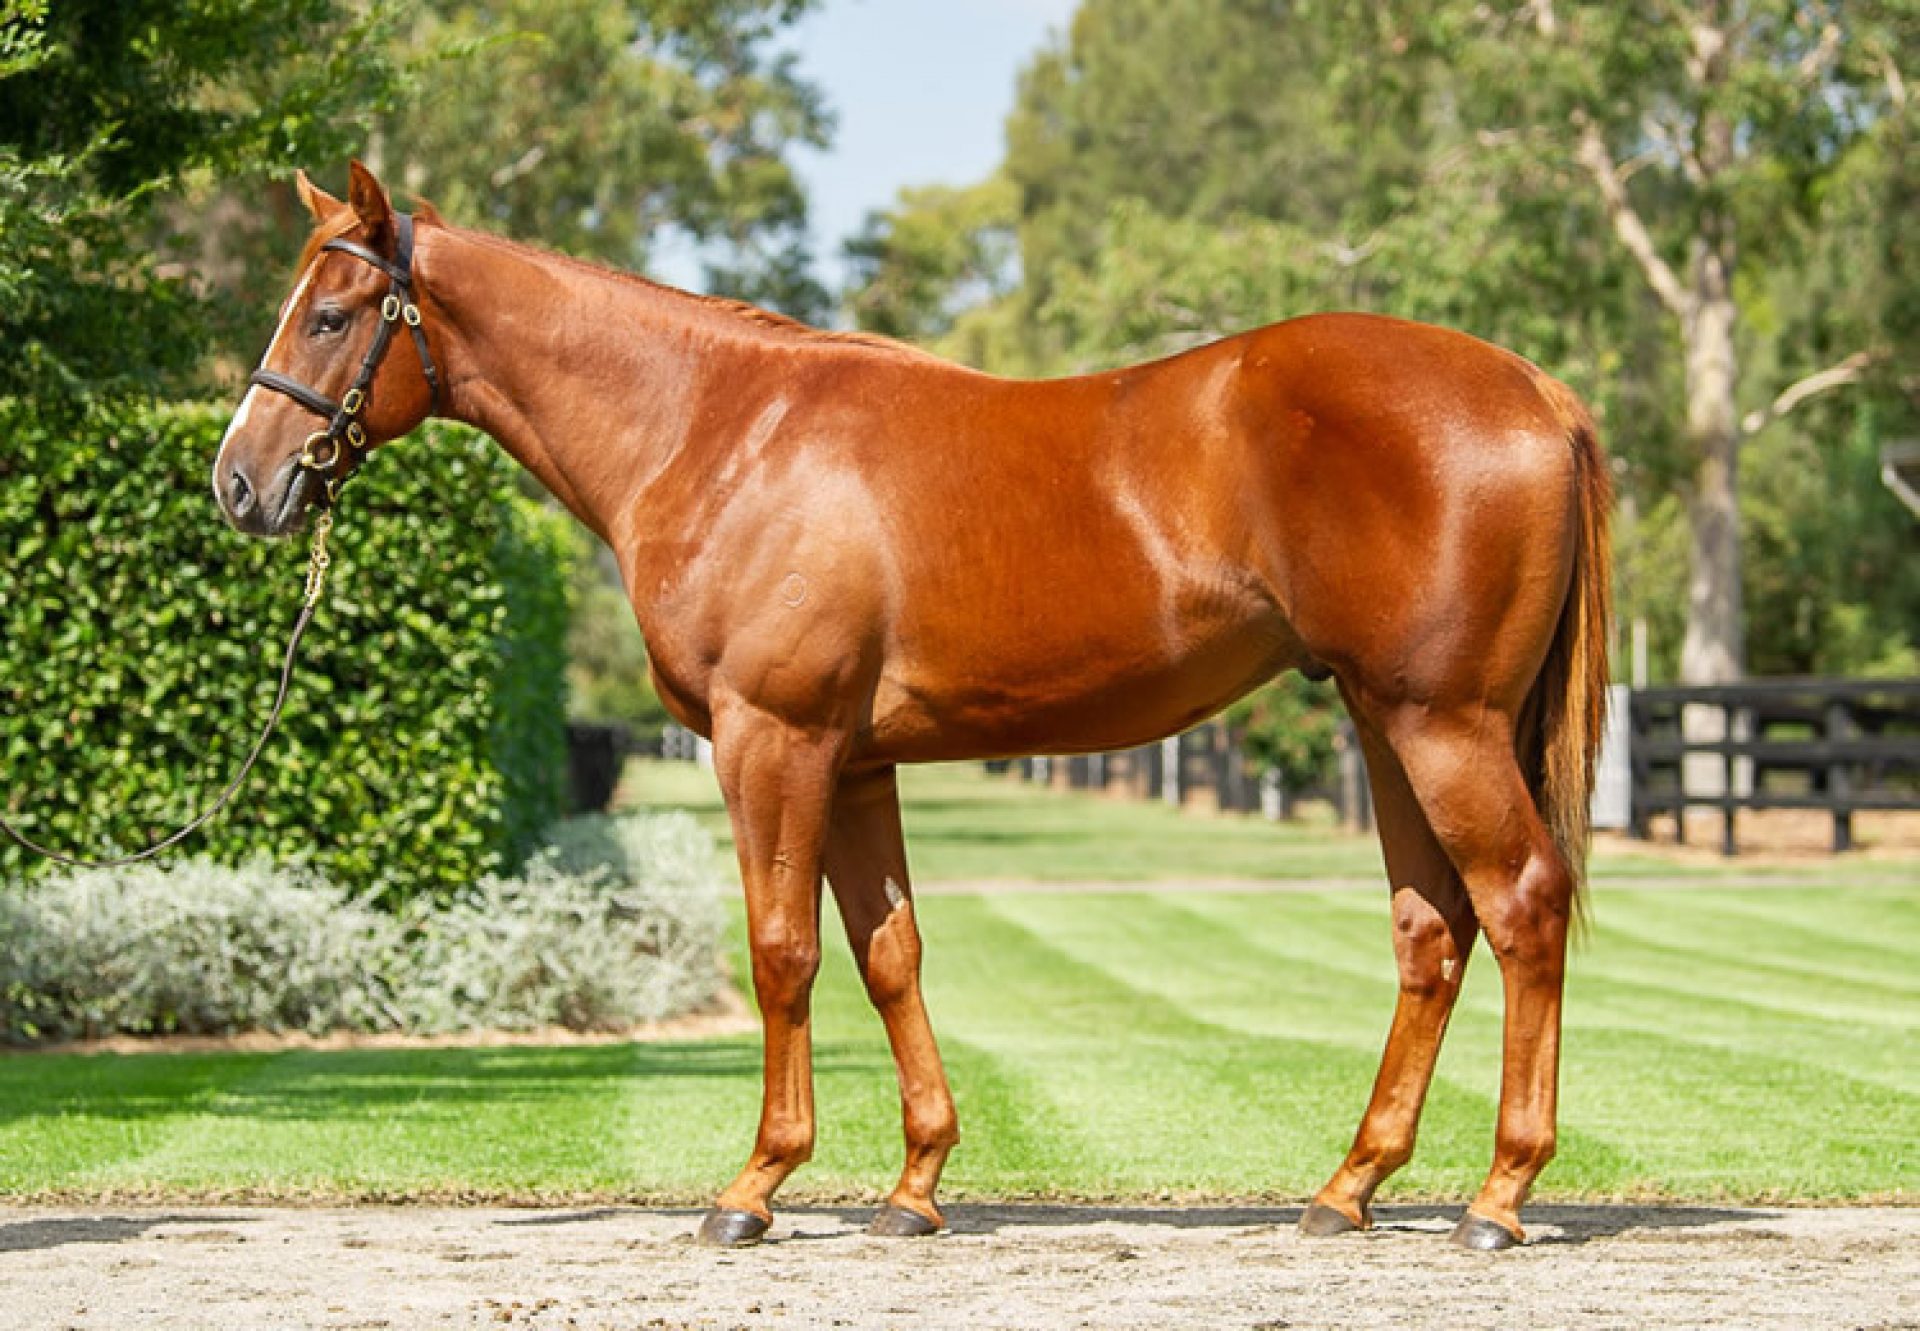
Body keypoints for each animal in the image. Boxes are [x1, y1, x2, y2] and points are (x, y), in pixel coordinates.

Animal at [217, 161, 1612, 1252]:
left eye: (331, 314)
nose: (240, 481)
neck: (718, 429)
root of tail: (1535, 390)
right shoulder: (853, 762)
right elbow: (890, 952)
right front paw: (916, 1183)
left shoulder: (771, 740)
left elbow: (783, 952)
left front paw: (754, 1185)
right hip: (1385, 722)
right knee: (1433, 929)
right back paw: (1350, 1185)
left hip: (1442, 722)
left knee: (1522, 905)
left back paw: (1499, 1194)